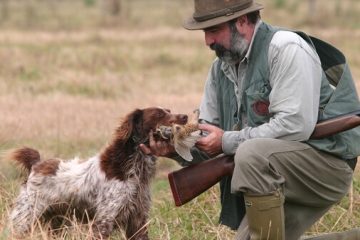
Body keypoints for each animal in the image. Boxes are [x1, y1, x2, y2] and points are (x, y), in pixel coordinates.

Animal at [8, 107, 188, 240]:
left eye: (169, 110)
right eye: (159, 114)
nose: (185, 116)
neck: (135, 168)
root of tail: (36, 164)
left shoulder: (137, 220)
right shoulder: (104, 220)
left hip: (56, 222)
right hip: (26, 217)